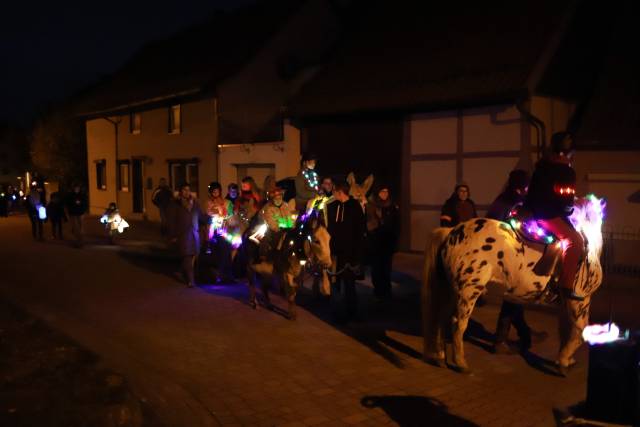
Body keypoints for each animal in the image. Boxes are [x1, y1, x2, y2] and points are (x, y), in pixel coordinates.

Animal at [420, 196, 604, 376]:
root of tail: (451, 232)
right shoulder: (580, 299)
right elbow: (579, 331)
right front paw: (563, 362)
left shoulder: (567, 302)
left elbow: (566, 329)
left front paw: (566, 359)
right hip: (468, 291)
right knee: (457, 324)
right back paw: (461, 363)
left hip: (452, 290)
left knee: (441, 318)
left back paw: (440, 357)